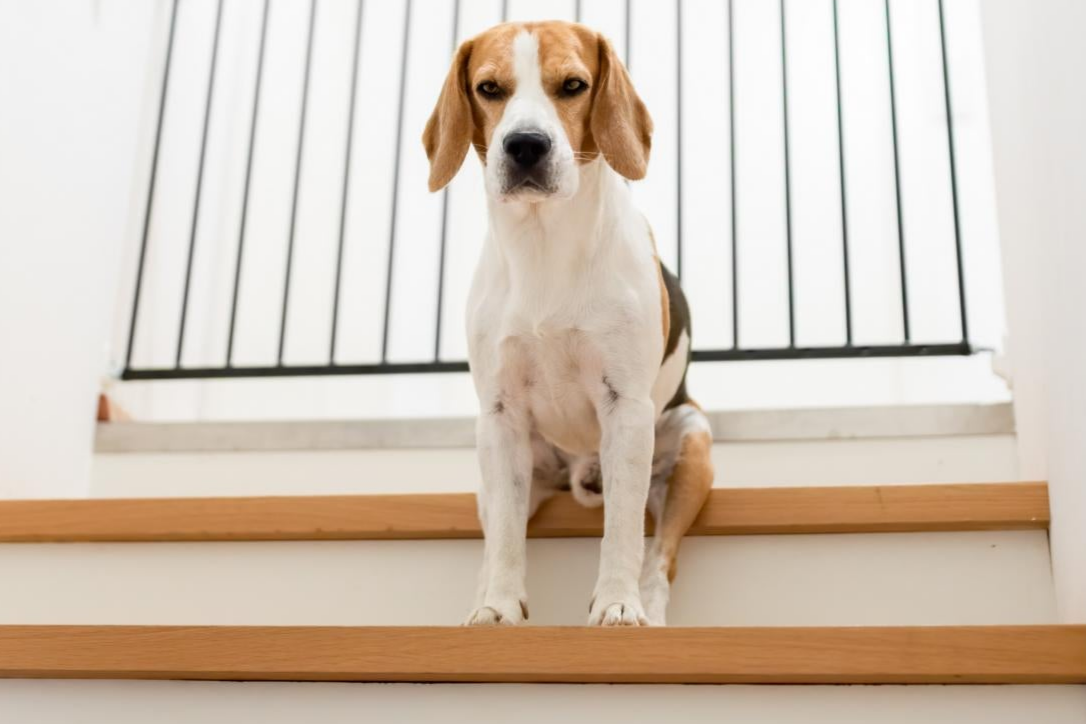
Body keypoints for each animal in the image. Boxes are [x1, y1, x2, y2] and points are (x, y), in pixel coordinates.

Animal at [421, 19, 712, 625]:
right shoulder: (500, 414)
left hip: (693, 443)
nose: (526, 145)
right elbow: (506, 542)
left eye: (573, 85)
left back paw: (650, 613)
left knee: (661, 555)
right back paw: (478, 605)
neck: (543, 243)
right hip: (495, 468)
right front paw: (499, 610)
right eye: (489, 88)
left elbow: (623, 530)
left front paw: (618, 605)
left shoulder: (626, 408)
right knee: (493, 540)